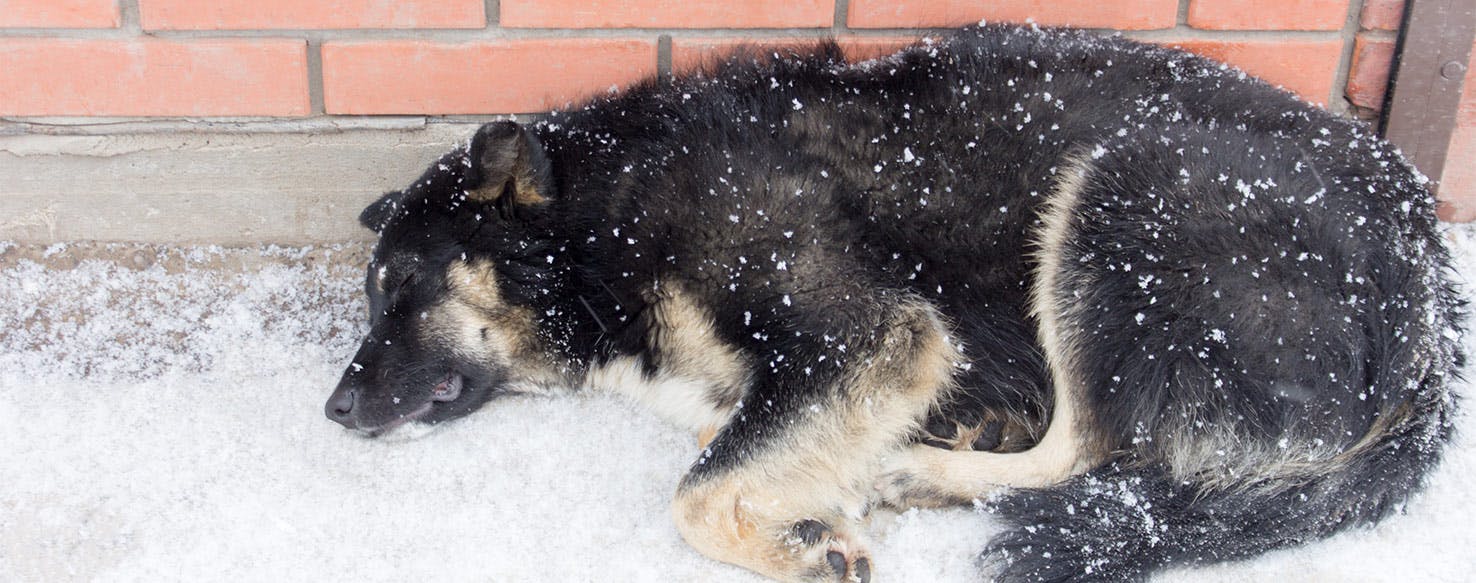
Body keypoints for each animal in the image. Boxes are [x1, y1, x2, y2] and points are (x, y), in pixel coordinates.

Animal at [323, 23, 1464, 583]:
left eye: (400, 289)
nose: (331, 411)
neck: (606, 215)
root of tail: (1428, 287)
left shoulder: (868, 332)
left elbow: (696, 494)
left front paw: (800, 544)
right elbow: (731, 445)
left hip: (1119, 196)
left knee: (1085, 449)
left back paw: (922, 467)